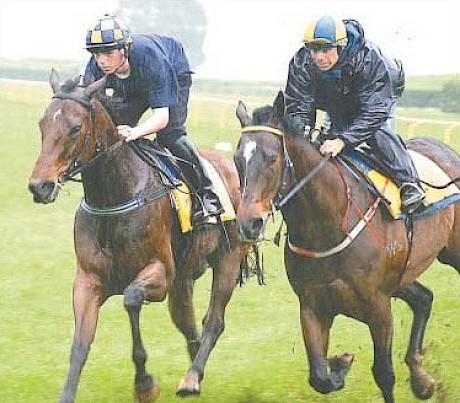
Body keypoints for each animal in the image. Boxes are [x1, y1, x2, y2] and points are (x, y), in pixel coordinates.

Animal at [27, 70, 252, 403]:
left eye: (75, 127)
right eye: (43, 124)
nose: (39, 186)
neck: (114, 194)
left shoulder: (160, 272)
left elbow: (131, 299)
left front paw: (144, 383)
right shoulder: (89, 279)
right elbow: (80, 342)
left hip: (228, 258)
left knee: (214, 320)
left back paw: (192, 378)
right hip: (185, 276)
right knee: (185, 320)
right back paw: (195, 366)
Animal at [235, 90, 460, 402]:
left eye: (271, 158)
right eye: (237, 159)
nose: (249, 223)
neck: (327, 224)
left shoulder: (379, 307)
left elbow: (384, 373)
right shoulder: (313, 306)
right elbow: (319, 377)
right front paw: (340, 364)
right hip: (401, 276)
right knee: (423, 298)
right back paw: (421, 379)